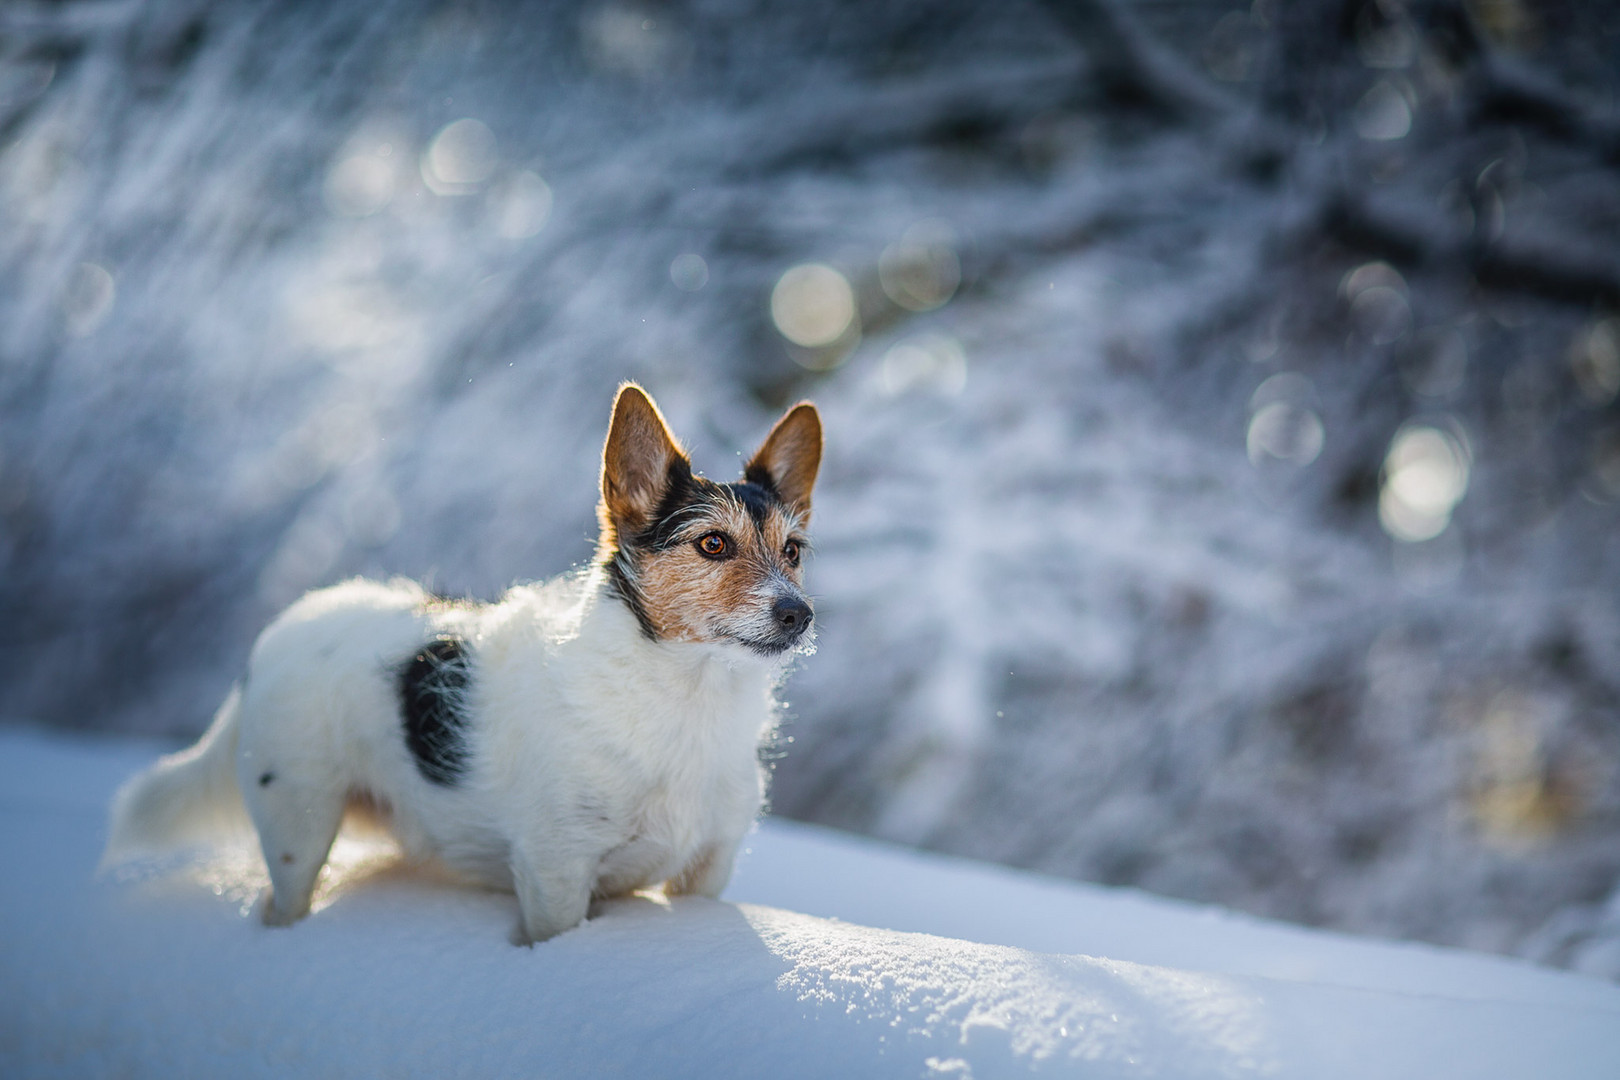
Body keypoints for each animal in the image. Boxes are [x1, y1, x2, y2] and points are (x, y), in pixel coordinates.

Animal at [107, 383, 822, 939]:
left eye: (792, 552)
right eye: (712, 544)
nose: (799, 615)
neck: (688, 697)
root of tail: (281, 631)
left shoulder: (707, 870)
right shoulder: (556, 872)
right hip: (298, 826)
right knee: (282, 901)